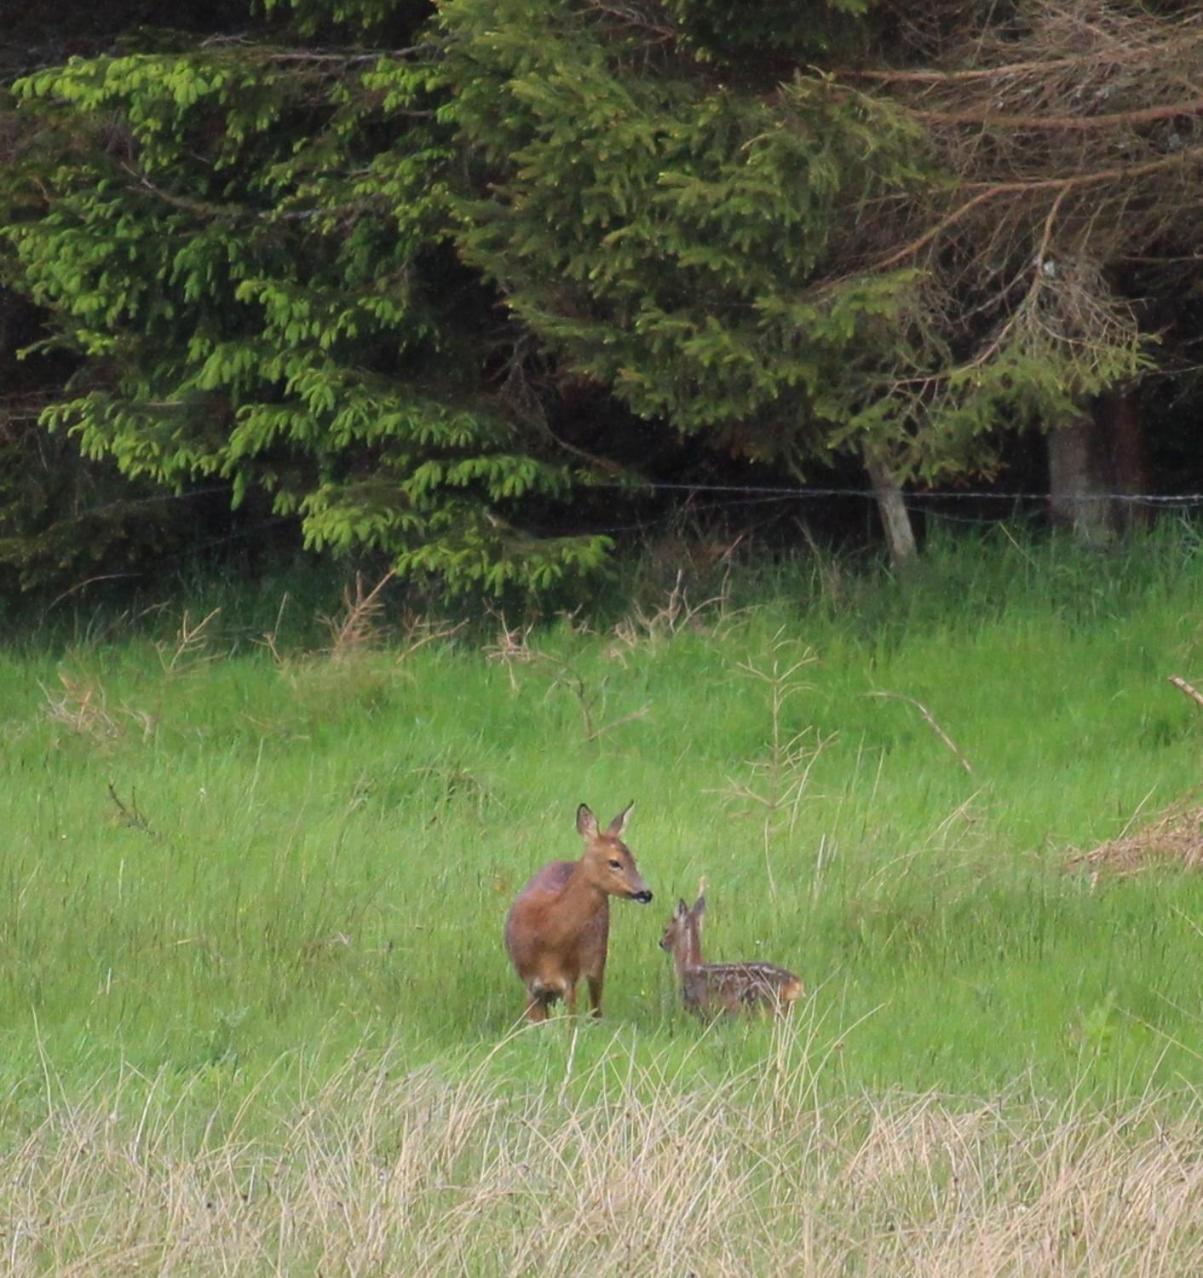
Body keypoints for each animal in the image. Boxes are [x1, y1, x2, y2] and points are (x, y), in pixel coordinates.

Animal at [503, 802, 651, 1022]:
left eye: (634, 859)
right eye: (614, 862)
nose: (646, 893)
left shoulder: (570, 980)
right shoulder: (529, 983)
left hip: (599, 957)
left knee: (596, 1007)